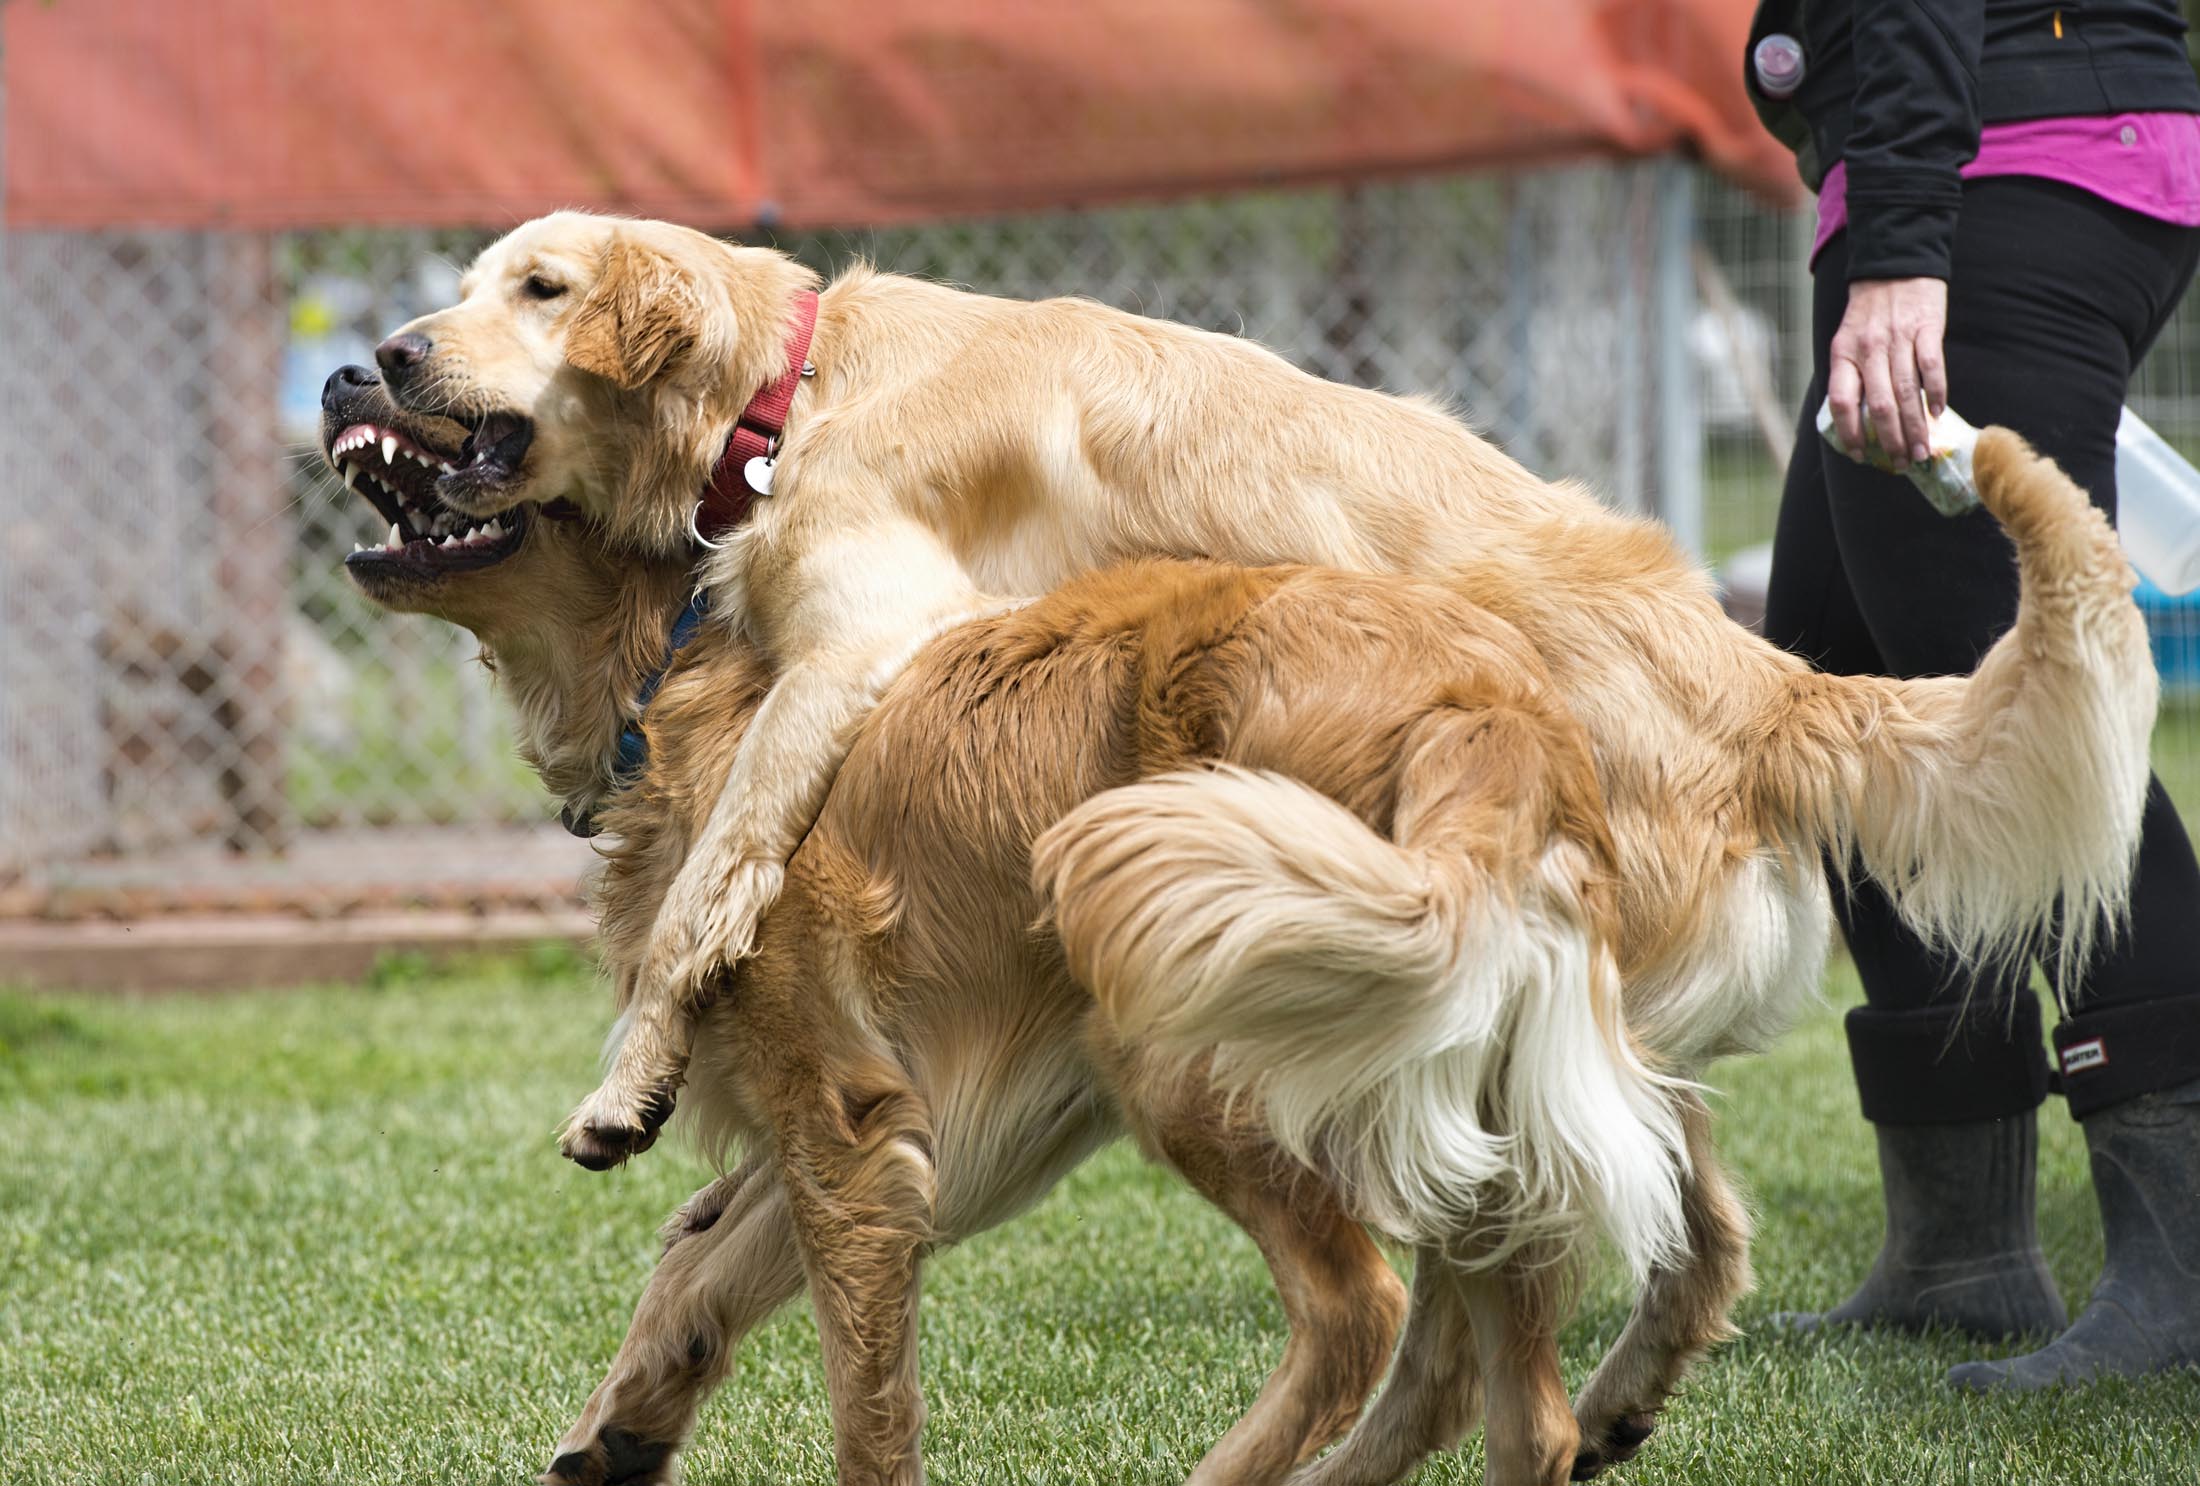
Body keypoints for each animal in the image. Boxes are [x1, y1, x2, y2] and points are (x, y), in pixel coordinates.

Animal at [323, 362, 2156, 1486]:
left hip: (1202, 1035)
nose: (349, 373)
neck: (689, 657)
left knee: (1363, 1317)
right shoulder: (900, 1143)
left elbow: (853, 1388)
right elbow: (692, 1265)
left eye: (492, 431)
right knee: (1538, 1376)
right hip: (1483, 1072)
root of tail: (1492, 709)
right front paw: (622, 1426)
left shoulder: (850, 1126)